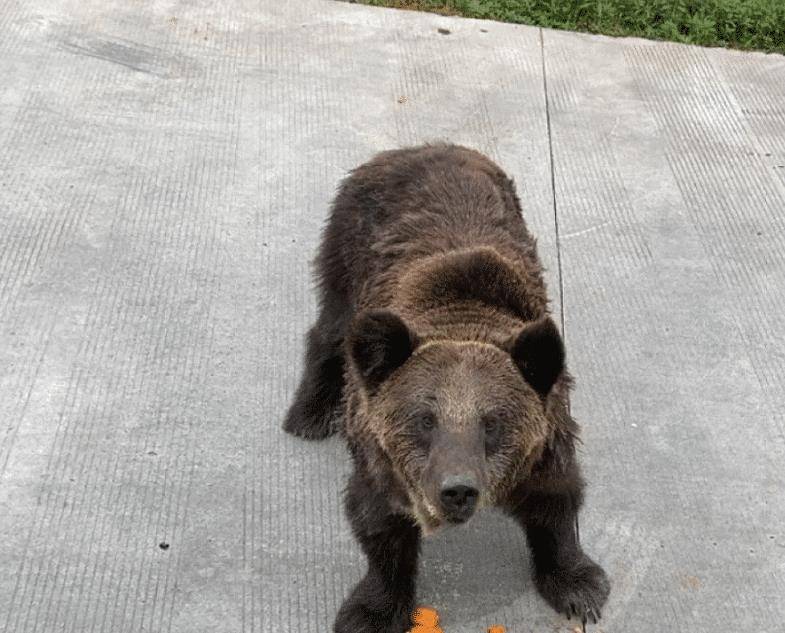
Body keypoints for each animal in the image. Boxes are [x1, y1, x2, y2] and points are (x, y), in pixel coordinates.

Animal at [280, 143, 608, 632]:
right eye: (423, 420)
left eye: (493, 422)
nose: (457, 489)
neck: (461, 315)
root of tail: (418, 146)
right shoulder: (381, 455)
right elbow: (378, 522)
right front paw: (371, 611)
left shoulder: (547, 434)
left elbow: (557, 500)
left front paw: (577, 584)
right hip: (348, 242)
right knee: (334, 326)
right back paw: (309, 412)